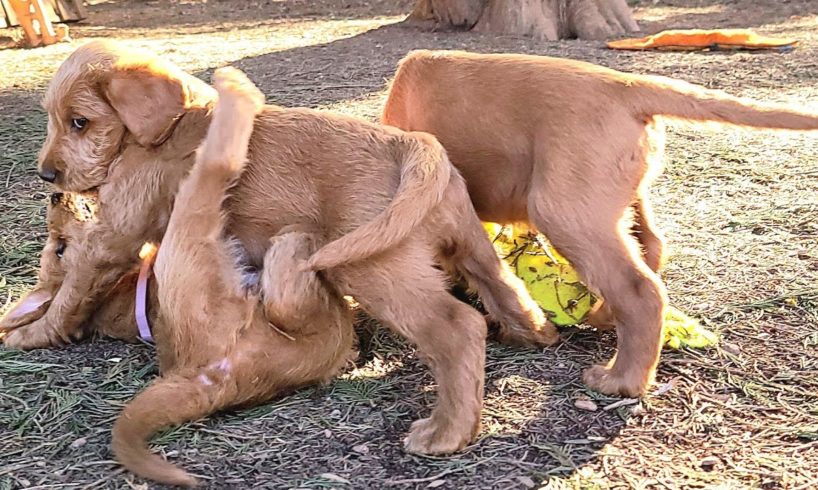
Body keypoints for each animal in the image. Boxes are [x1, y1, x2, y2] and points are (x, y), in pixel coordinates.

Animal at [0, 42, 548, 460]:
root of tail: (408, 145)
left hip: (372, 268)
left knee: (457, 328)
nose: (48, 177)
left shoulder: (112, 237)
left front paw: (28, 334)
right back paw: (533, 333)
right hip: (469, 241)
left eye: (79, 122)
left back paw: (447, 431)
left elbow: (68, 294)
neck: (165, 127)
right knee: (504, 285)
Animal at [380, 48, 816, 398]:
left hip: (562, 208)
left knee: (641, 290)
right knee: (651, 249)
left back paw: (621, 380)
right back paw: (606, 318)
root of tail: (629, 86)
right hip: (621, 200)